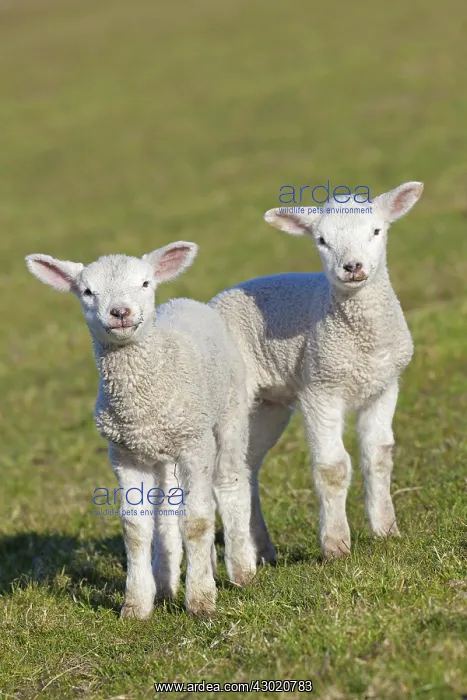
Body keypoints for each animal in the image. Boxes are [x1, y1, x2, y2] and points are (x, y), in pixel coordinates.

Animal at [25, 242, 256, 618]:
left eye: (145, 283)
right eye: (87, 291)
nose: (120, 312)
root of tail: (187, 302)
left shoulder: (194, 443)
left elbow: (197, 521)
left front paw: (201, 601)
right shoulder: (124, 453)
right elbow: (135, 529)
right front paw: (135, 605)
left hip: (230, 412)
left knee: (229, 481)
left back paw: (241, 570)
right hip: (160, 452)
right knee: (168, 513)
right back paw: (167, 582)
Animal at [210, 182, 423, 562]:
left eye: (376, 231)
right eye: (321, 240)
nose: (352, 267)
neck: (361, 338)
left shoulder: (384, 386)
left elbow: (379, 455)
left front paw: (386, 532)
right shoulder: (320, 389)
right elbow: (332, 468)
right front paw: (336, 546)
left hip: (268, 405)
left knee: (246, 468)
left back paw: (262, 549)